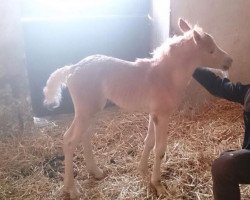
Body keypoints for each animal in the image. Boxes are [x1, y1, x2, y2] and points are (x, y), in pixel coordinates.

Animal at [43, 19, 232, 198]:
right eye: (211, 50)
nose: (229, 61)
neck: (166, 76)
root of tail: (71, 69)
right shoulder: (162, 115)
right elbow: (160, 149)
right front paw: (158, 185)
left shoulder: (153, 114)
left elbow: (148, 142)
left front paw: (143, 171)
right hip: (85, 111)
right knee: (69, 140)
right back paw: (71, 189)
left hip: (92, 110)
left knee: (83, 136)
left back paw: (95, 172)